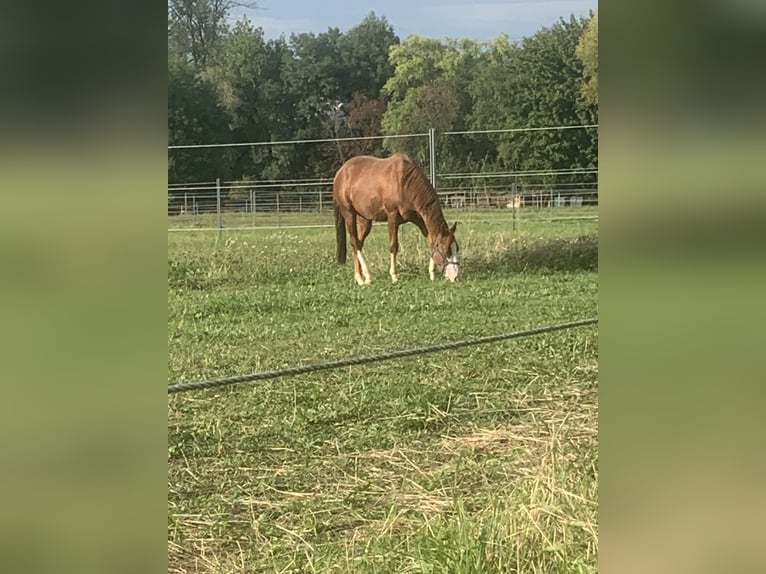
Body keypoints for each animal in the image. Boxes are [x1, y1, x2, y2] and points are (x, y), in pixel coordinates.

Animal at [332, 154, 462, 286]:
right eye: (446, 250)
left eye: (457, 248)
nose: (456, 277)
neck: (404, 182)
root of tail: (341, 172)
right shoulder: (392, 216)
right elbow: (393, 246)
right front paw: (394, 276)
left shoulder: (419, 219)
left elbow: (431, 241)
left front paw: (432, 274)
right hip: (349, 213)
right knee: (354, 242)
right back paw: (364, 277)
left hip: (364, 219)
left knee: (358, 243)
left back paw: (362, 278)